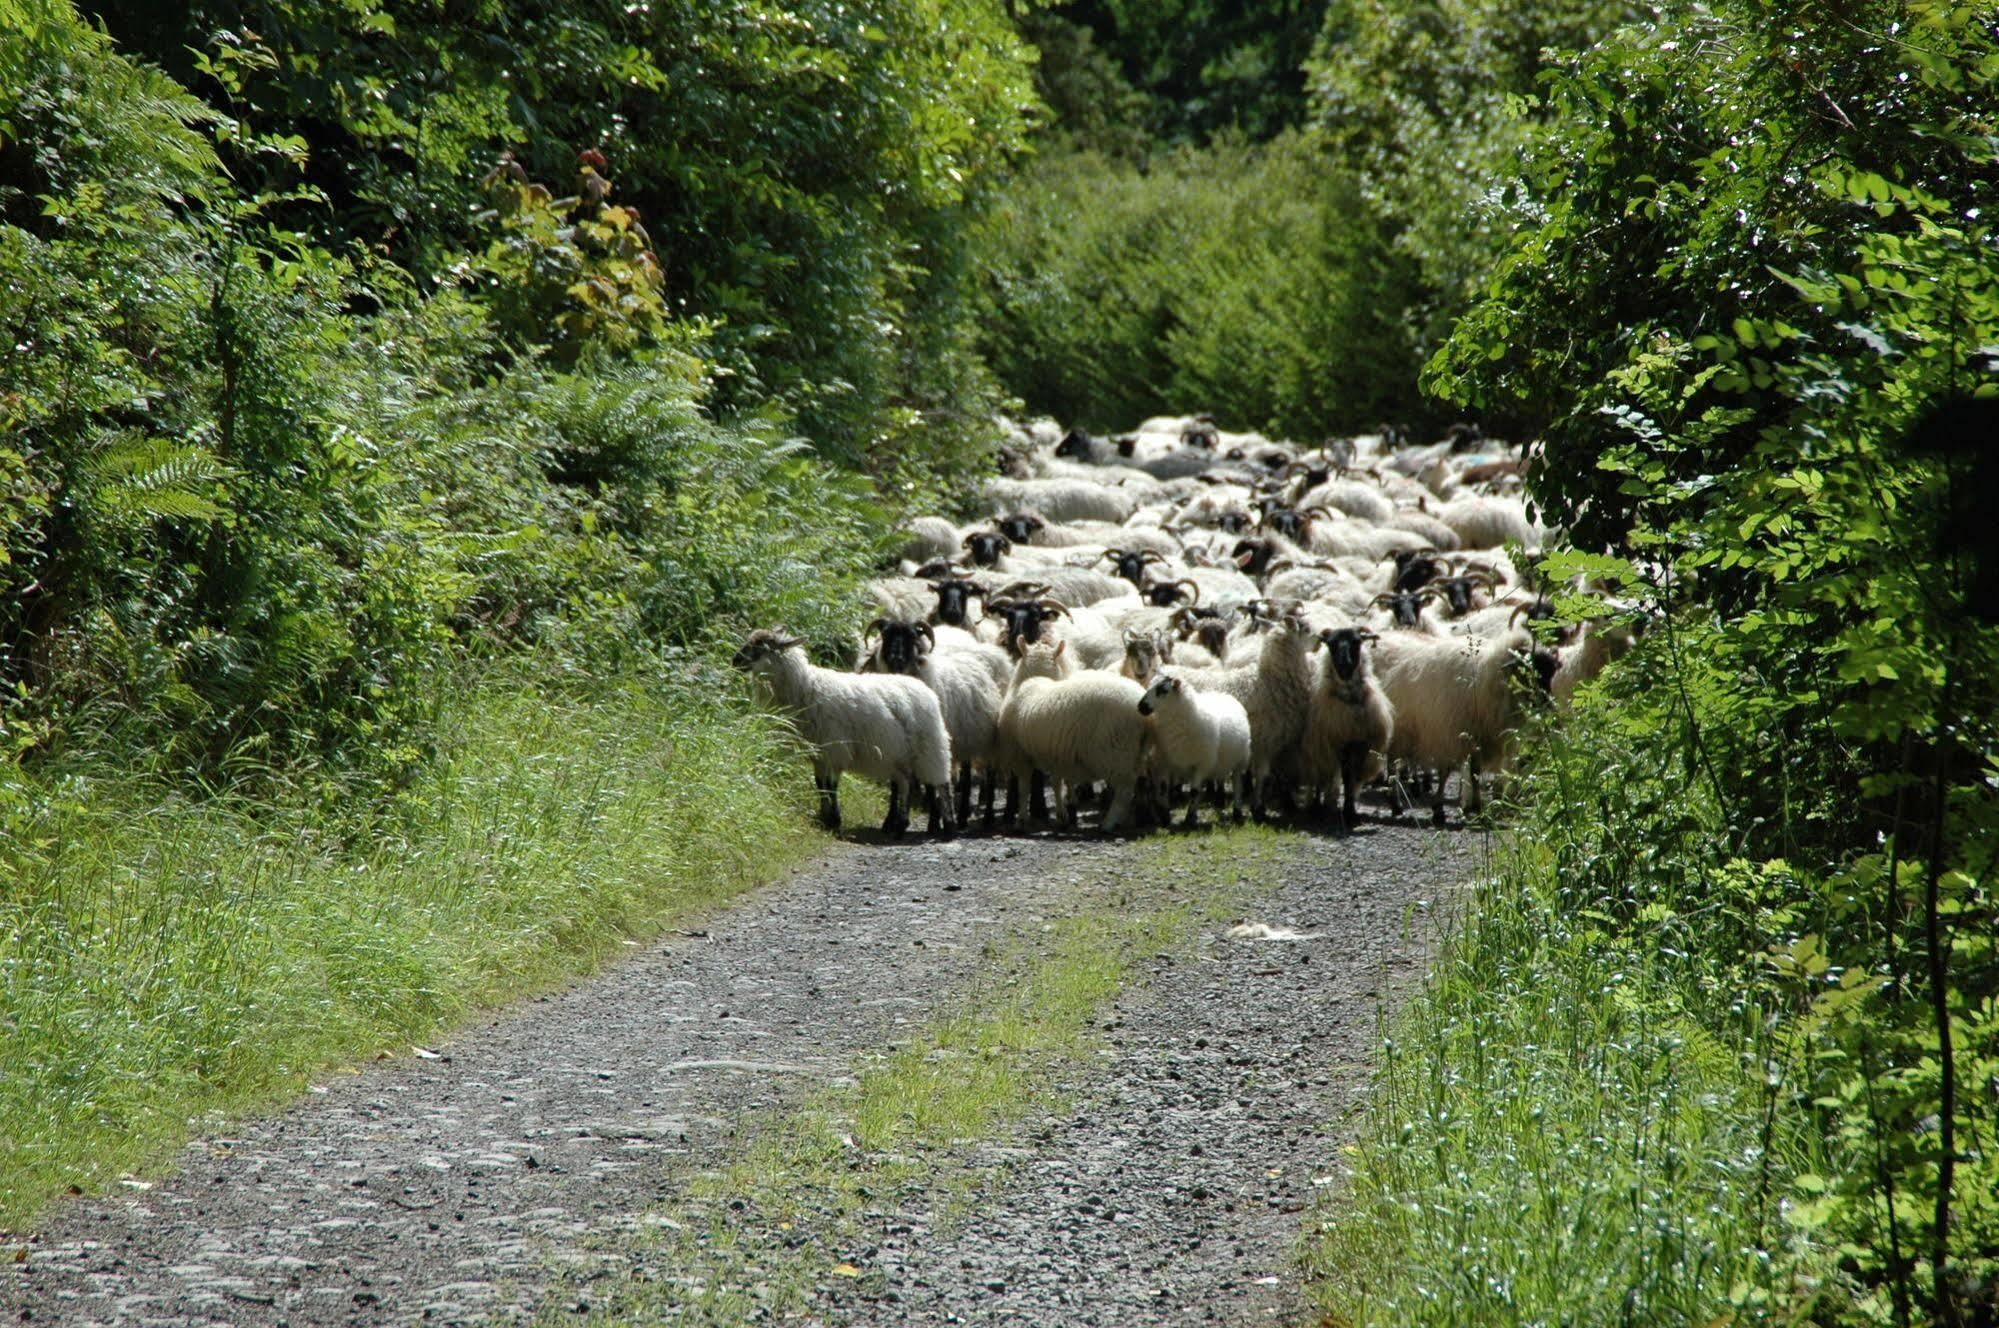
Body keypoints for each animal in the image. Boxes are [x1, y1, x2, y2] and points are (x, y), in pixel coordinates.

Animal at [731, 628, 955, 836]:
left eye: (762, 647)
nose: (735, 660)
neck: (804, 688)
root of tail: (925, 689)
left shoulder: (835, 747)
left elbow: (831, 785)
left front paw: (834, 820)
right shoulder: (818, 752)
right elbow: (820, 783)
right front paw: (824, 817)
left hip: (929, 745)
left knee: (940, 784)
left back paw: (944, 826)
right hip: (901, 754)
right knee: (906, 783)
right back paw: (902, 825)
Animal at [995, 640, 1143, 832]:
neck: (1033, 679)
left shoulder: (1020, 754)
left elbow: (1024, 788)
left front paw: (1021, 819)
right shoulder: (1056, 751)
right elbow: (1057, 782)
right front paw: (1063, 814)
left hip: (1114, 749)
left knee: (1125, 789)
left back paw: (1109, 823)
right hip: (1134, 749)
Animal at [1143, 676, 1247, 832]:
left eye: (1163, 690)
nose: (1140, 706)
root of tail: (1224, 694)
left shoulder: (1201, 764)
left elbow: (1194, 791)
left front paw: (1189, 819)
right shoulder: (1164, 762)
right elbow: (1163, 789)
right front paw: (1165, 818)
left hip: (1239, 762)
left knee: (1237, 785)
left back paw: (1237, 812)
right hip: (1220, 761)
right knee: (1219, 778)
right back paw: (1219, 800)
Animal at [1295, 632, 1391, 832]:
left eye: (1357, 642)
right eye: (1331, 644)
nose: (1344, 666)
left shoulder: (1360, 744)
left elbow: (1351, 778)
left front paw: (1351, 812)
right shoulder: (1336, 741)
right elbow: (1340, 775)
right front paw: (1336, 810)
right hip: (1317, 745)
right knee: (1319, 774)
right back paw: (1316, 806)